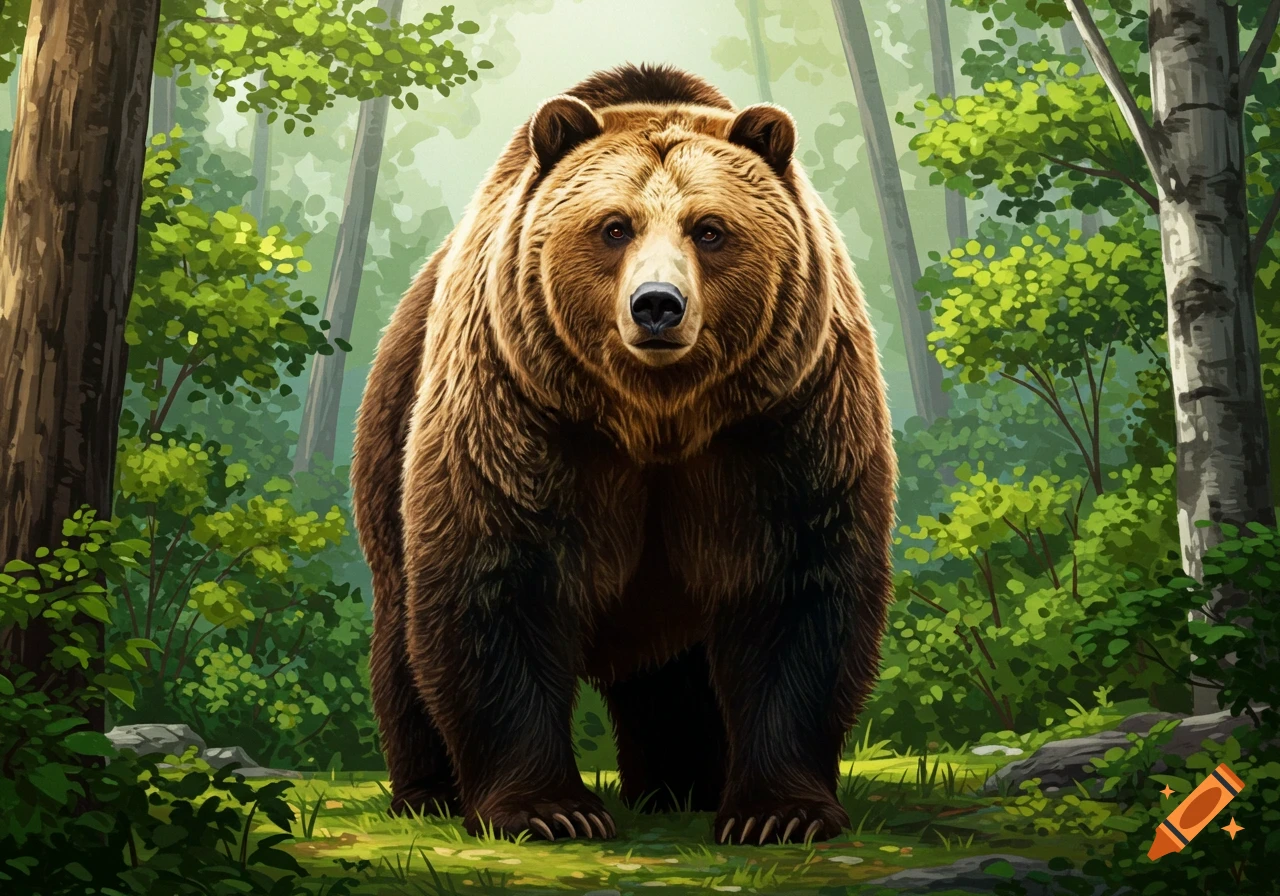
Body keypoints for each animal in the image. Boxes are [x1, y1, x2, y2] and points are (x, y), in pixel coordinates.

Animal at [350, 62, 897, 846]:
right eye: (614, 226)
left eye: (709, 229)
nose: (658, 304)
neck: (656, 415)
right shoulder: (522, 404)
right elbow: (499, 580)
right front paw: (550, 809)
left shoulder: (787, 414)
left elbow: (796, 587)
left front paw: (778, 813)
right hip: (392, 428)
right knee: (401, 630)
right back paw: (427, 793)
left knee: (671, 672)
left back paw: (683, 785)